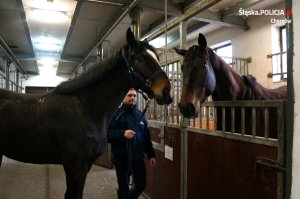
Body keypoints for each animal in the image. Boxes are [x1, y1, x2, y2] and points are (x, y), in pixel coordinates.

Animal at [0, 28, 172, 199]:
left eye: (157, 58)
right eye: (140, 58)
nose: (167, 92)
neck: (85, 109)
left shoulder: (84, 166)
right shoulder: (75, 167)